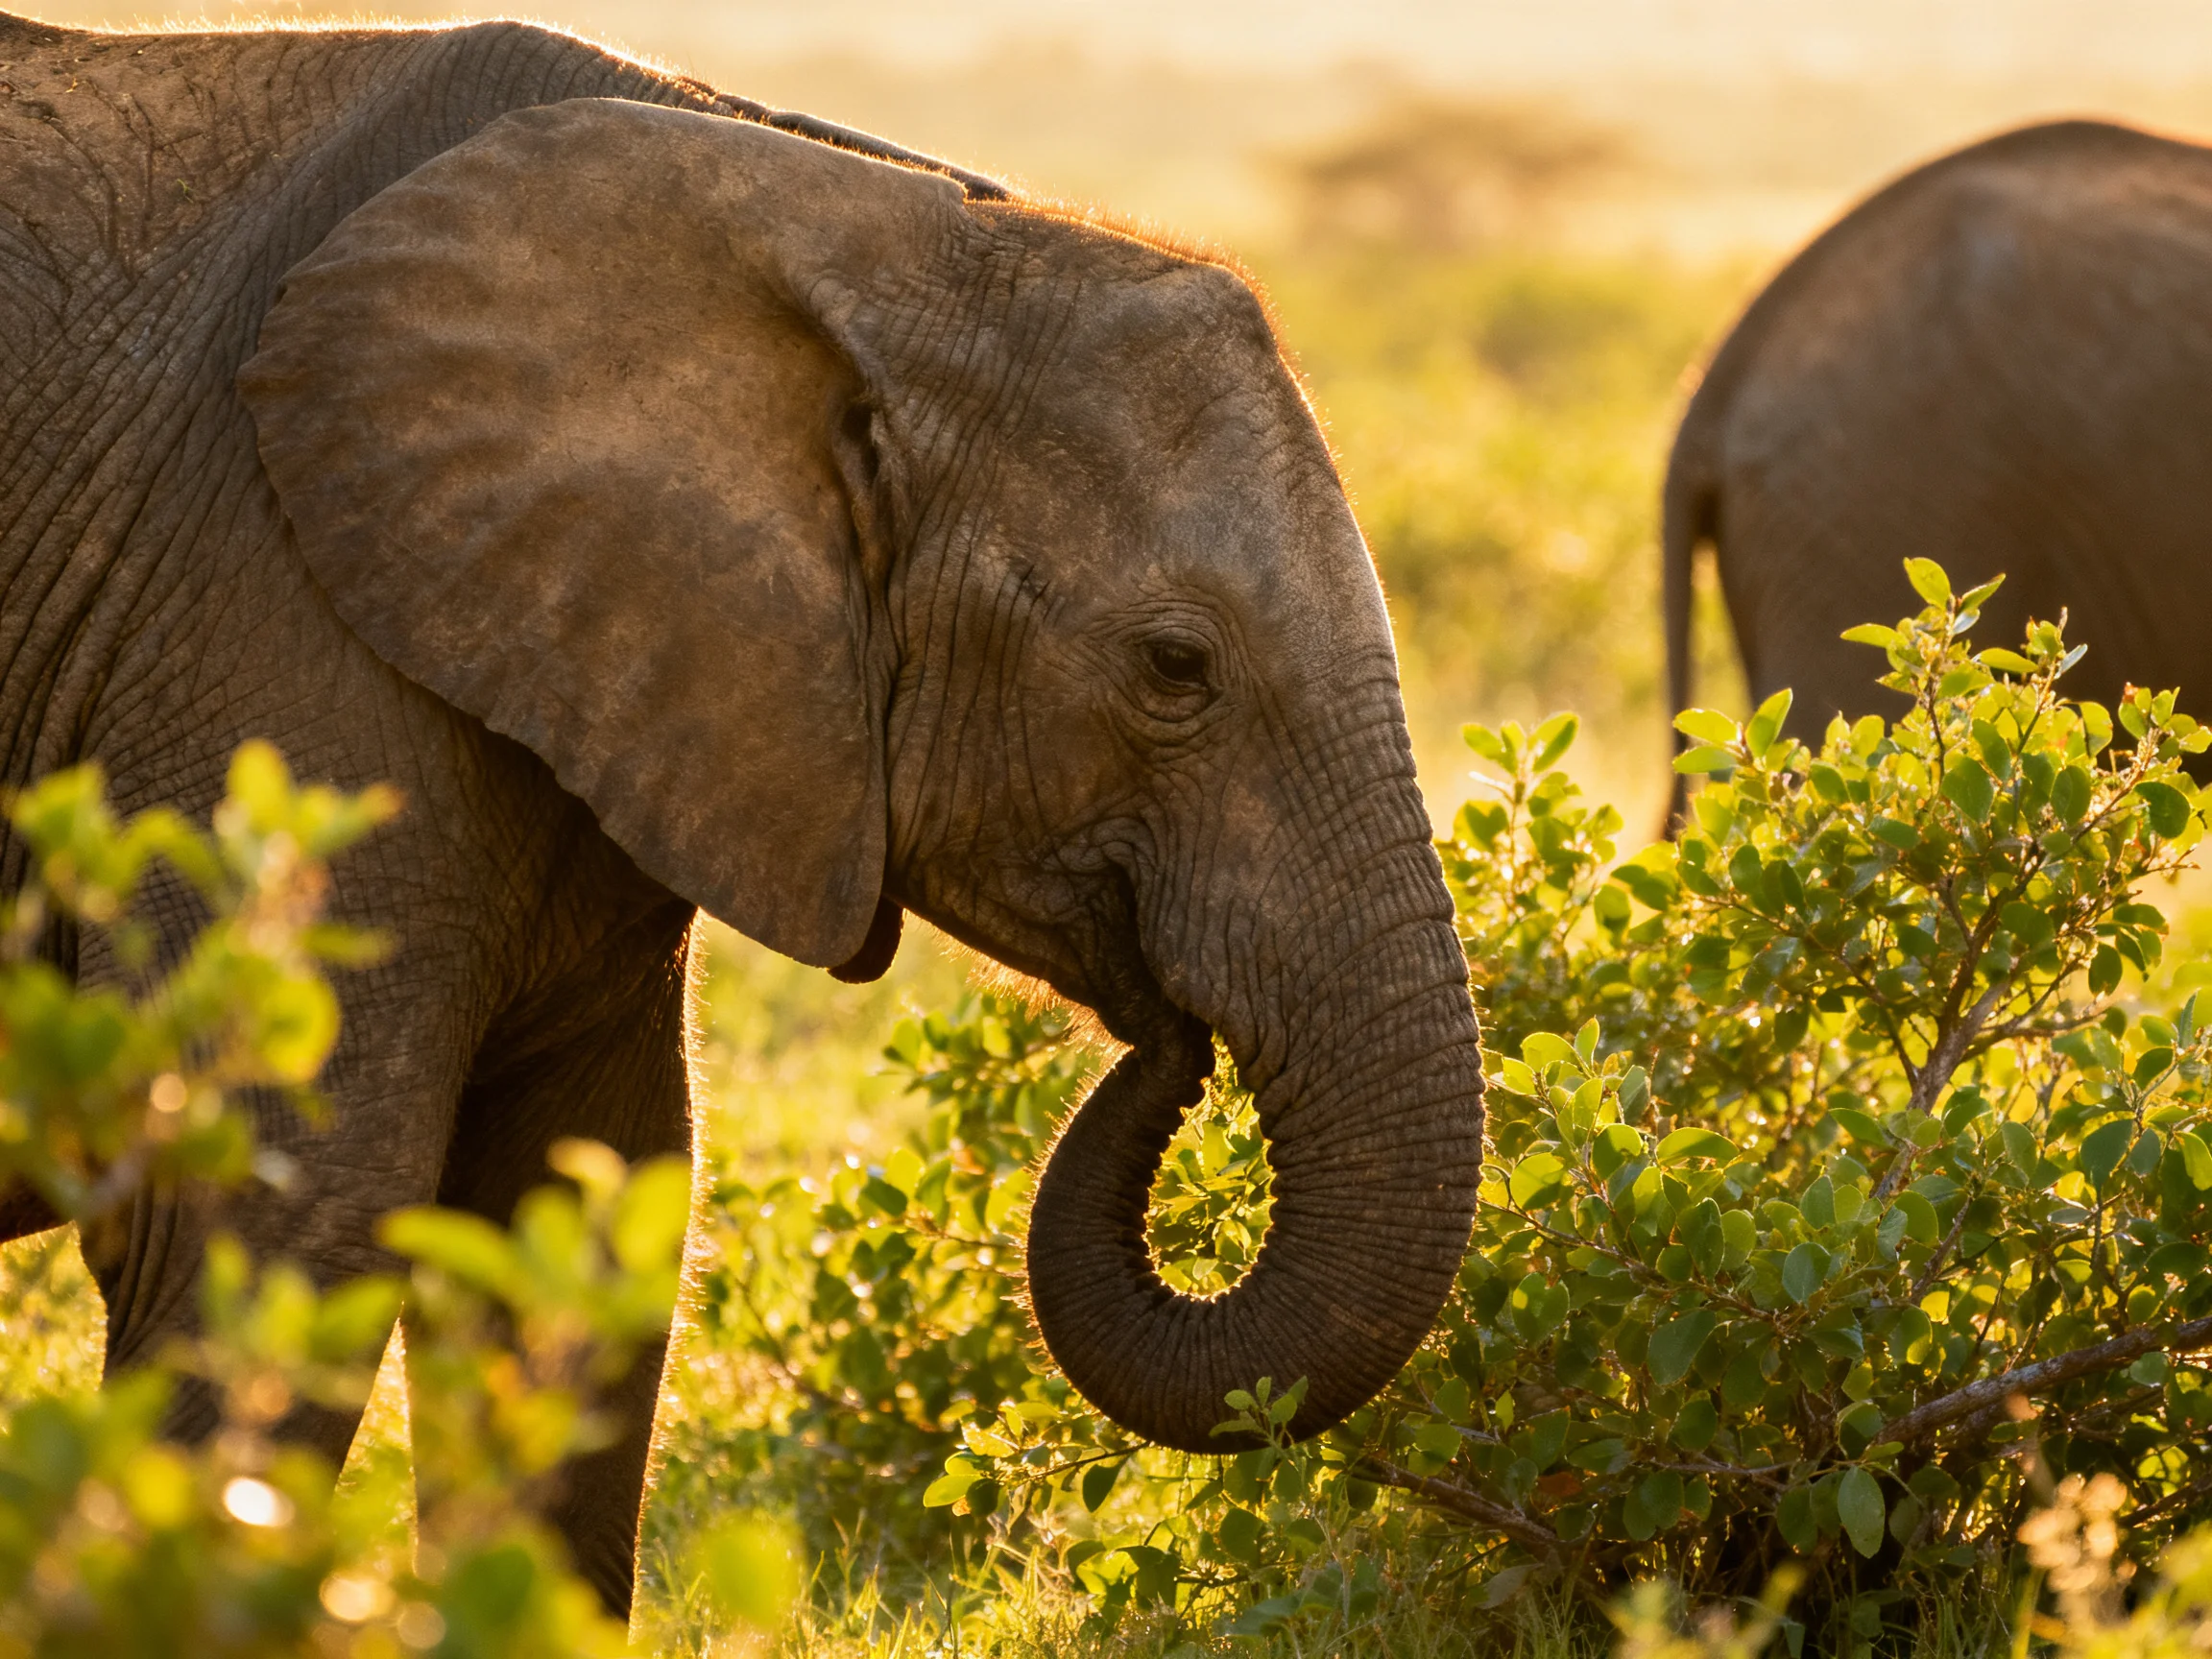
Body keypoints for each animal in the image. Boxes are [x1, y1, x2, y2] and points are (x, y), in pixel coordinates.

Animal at [0, 13, 1486, 1614]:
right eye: (1174, 668)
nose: (1165, 1029)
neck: (875, 232)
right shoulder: (272, 633)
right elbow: (273, 1211)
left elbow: (584, 1222)